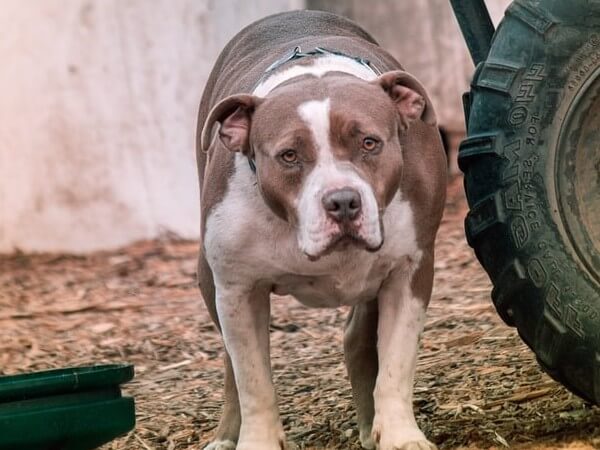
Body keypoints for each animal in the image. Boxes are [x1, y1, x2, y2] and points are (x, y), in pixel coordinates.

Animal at [196, 8, 446, 448]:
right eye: (289, 155)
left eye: (369, 143)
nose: (343, 201)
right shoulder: (238, 288)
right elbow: (253, 382)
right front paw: (257, 440)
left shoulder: (410, 271)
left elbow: (396, 364)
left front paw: (399, 434)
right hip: (209, 280)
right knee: (229, 363)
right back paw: (227, 434)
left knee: (360, 338)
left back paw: (369, 425)